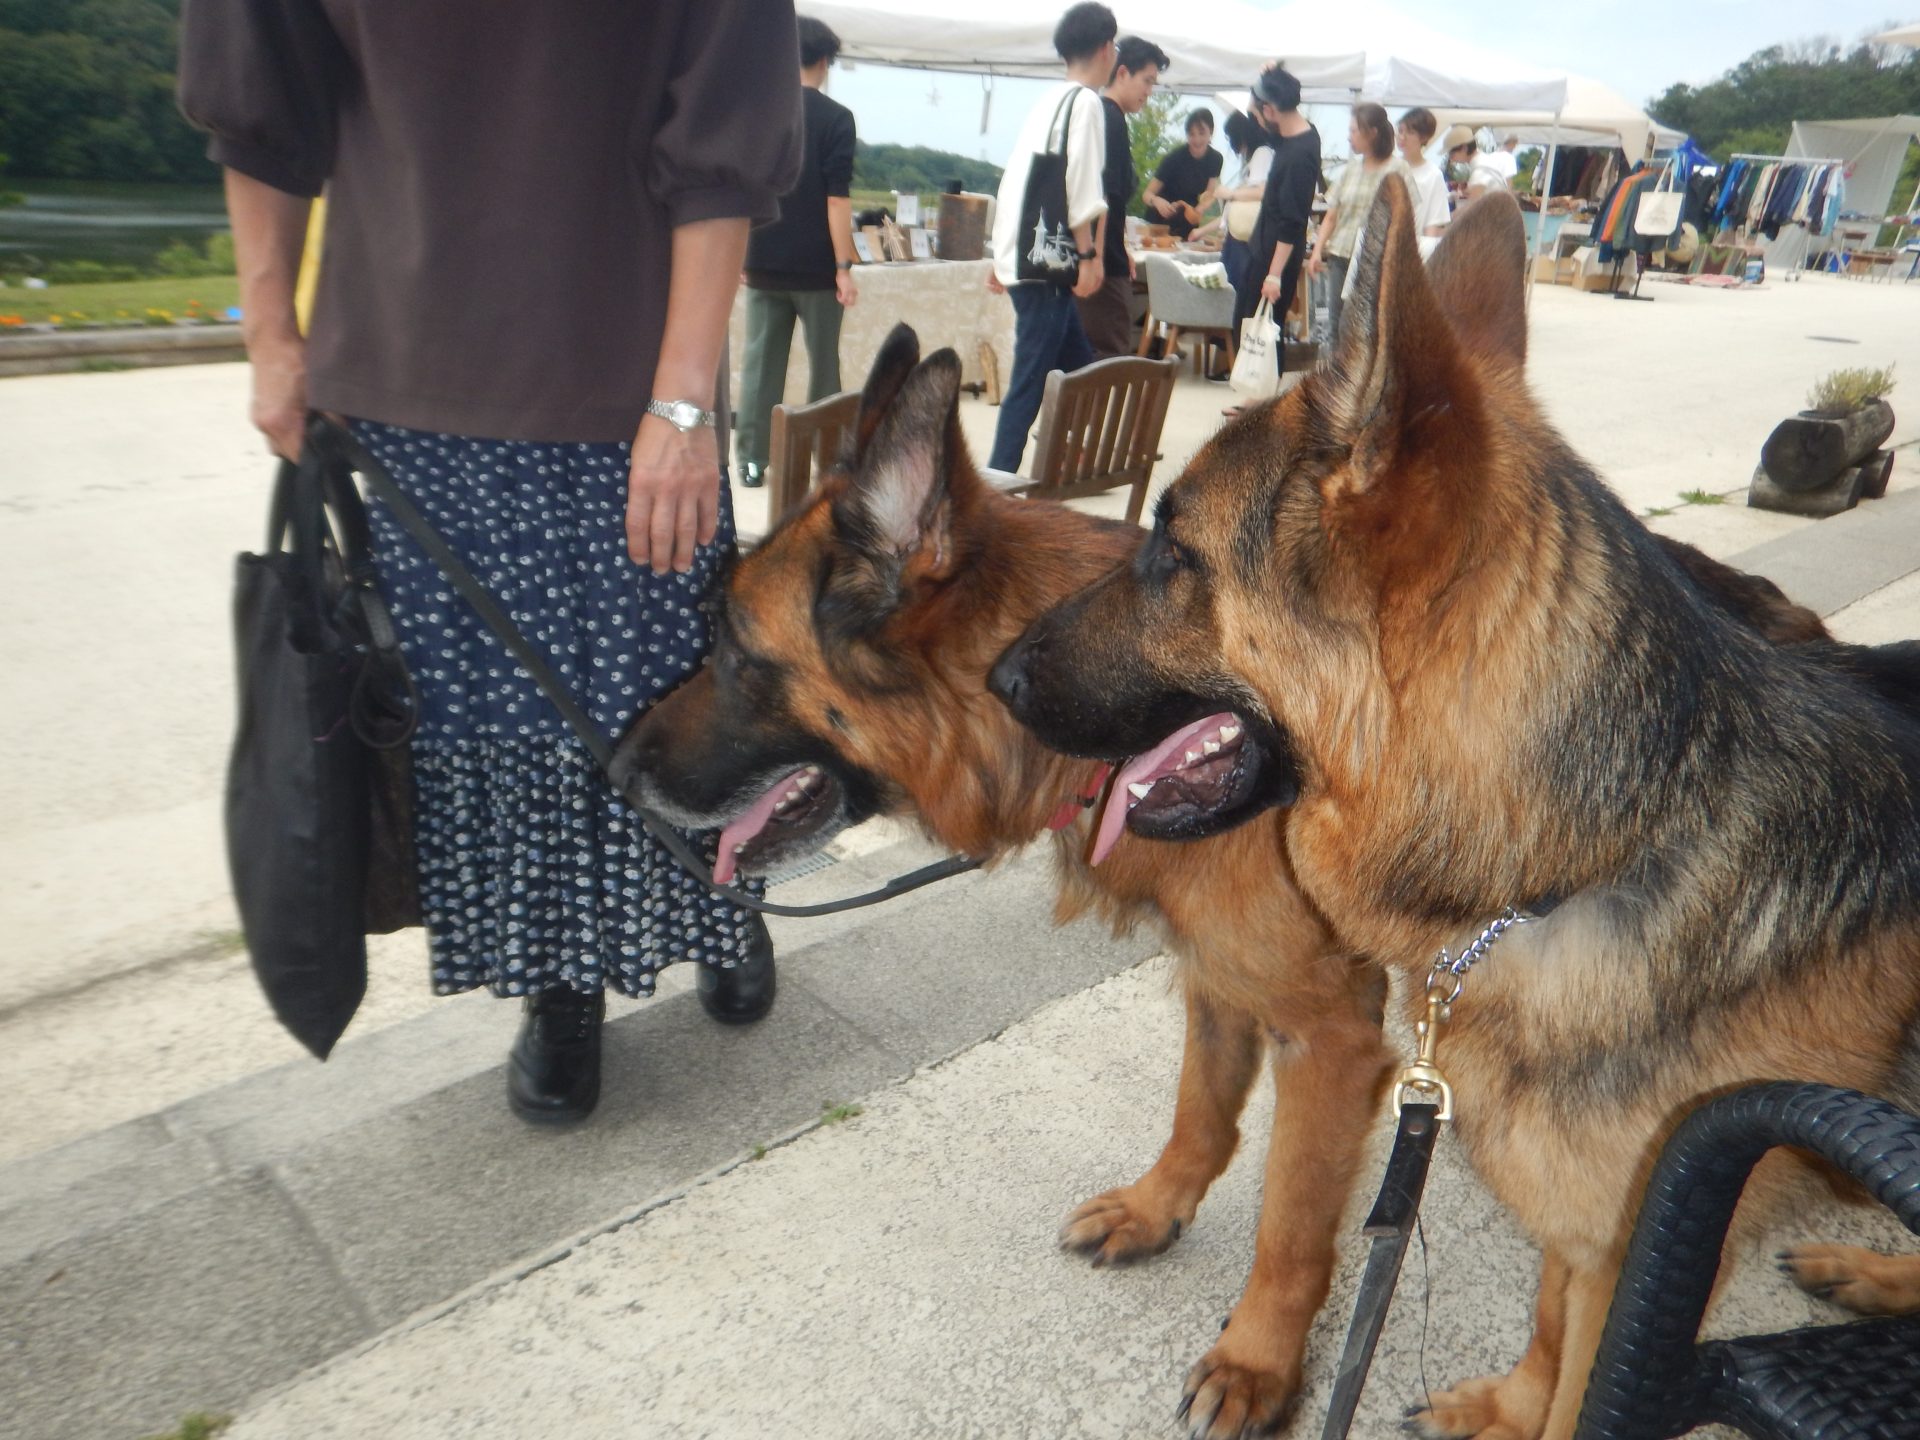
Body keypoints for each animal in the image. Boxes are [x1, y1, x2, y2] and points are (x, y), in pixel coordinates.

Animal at [990, 186, 1920, 1436]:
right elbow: (1548, 1331)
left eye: (1170, 550)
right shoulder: (1594, 1242)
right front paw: (1511, 1409)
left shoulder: (1642, 1262)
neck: (1594, 856)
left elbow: (1583, 1385)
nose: (999, 678)